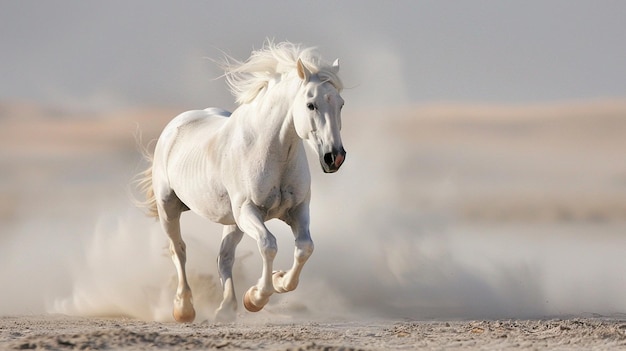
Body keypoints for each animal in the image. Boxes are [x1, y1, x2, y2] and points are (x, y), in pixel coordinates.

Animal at [135, 42, 346, 324]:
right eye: (311, 104)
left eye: (341, 104)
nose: (335, 157)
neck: (271, 150)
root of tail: (174, 126)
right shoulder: (249, 211)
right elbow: (268, 245)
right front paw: (256, 297)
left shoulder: (297, 210)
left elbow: (305, 248)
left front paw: (279, 281)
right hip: (168, 208)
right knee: (178, 250)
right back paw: (184, 308)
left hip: (232, 222)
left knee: (224, 257)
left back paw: (225, 308)